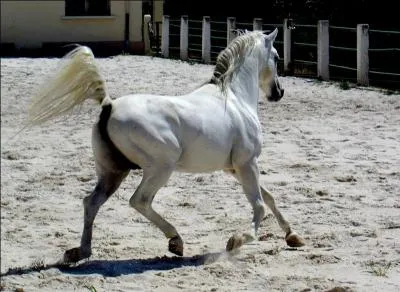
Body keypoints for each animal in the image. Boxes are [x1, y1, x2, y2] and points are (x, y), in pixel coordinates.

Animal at [27, 28, 304, 264]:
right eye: (277, 57)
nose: (278, 92)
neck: (235, 99)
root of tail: (109, 105)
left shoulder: (235, 168)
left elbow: (269, 198)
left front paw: (293, 236)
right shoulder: (247, 164)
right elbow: (259, 206)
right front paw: (236, 241)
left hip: (113, 172)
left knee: (91, 203)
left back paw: (80, 251)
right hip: (160, 168)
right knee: (139, 201)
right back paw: (175, 241)